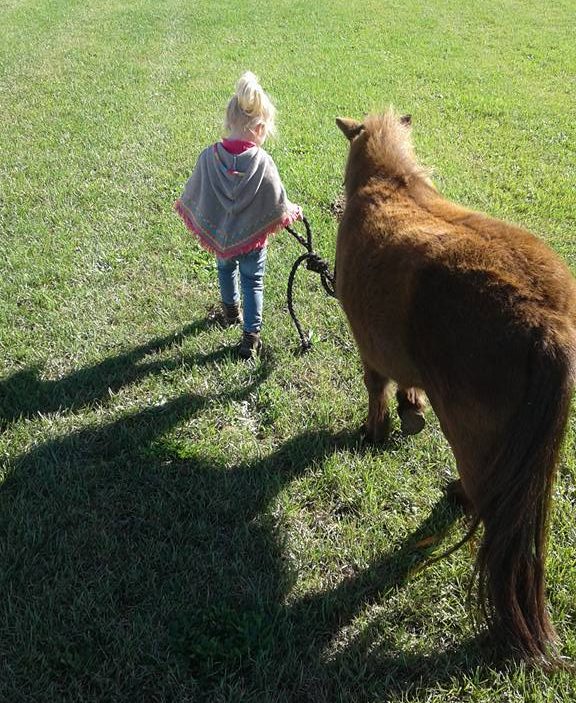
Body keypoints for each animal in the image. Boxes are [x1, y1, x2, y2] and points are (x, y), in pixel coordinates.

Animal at [336, 110, 572, 664]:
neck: (390, 184)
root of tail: (546, 322)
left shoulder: (368, 347)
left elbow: (375, 389)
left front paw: (376, 430)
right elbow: (403, 388)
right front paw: (411, 407)